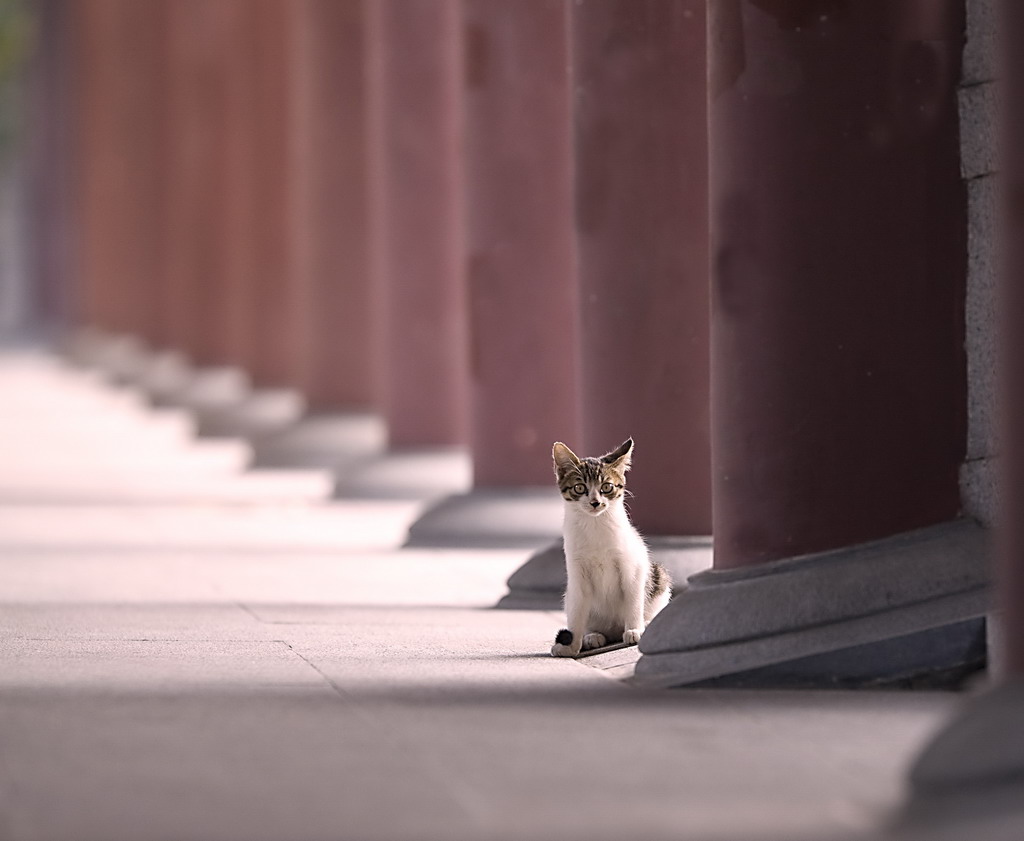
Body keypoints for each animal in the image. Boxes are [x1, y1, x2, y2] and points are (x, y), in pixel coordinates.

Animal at [552, 436, 671, 659]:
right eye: (579, 487)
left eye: (607, 487)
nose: (595, 502)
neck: (595, 526)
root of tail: (614, 630)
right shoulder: (577, 571)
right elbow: (577, 610)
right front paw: (571, 646)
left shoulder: (632, 565)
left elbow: (633, 598)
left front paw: (634, 630)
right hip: (570, 596)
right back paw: (592, 636)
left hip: (659, 576)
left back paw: (646, 624)